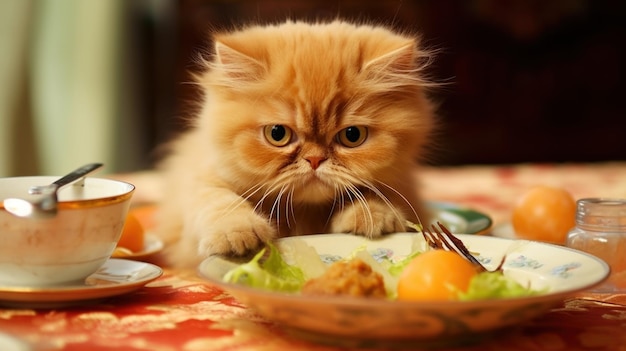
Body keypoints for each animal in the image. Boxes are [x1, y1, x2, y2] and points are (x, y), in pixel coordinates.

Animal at [156, 19, 434, 268]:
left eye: (352, 135)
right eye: (277, 134)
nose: (314, 159)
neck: (305, 212)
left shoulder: (402, 185)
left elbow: (373, 193)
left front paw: (375, 216)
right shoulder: (203, 179)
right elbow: (218, 200)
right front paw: (236, 232)